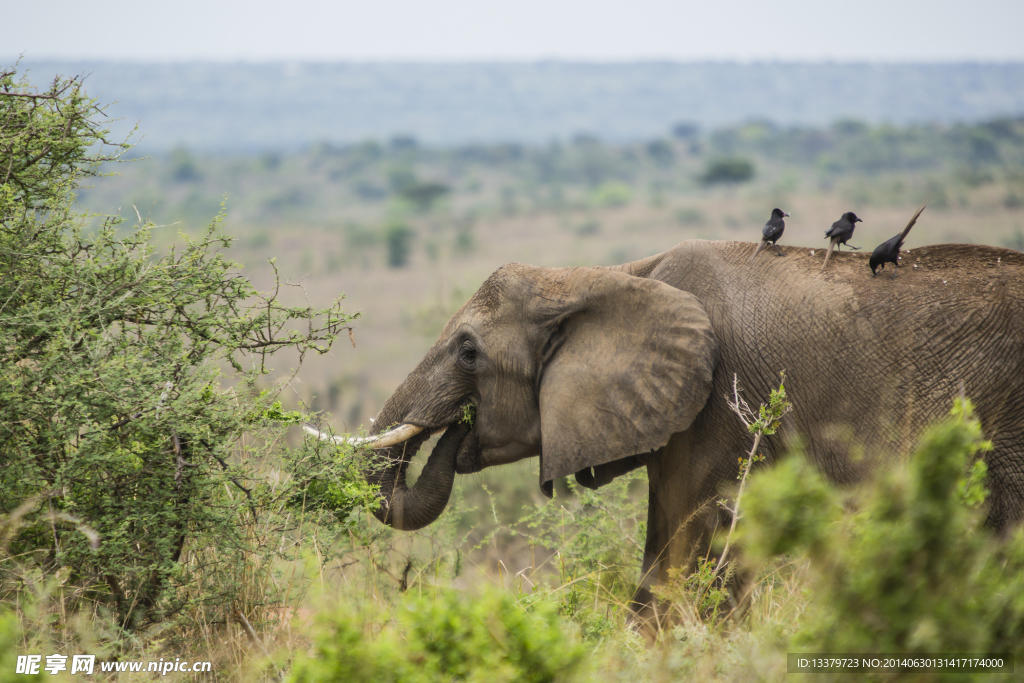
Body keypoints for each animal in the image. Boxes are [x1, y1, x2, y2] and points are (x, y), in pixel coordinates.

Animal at [346, 239, 1024, 618]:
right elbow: (662, 558)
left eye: (468, 353)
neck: (610, 274)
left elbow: (693, 556)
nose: (457, 430)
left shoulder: (718, 405)